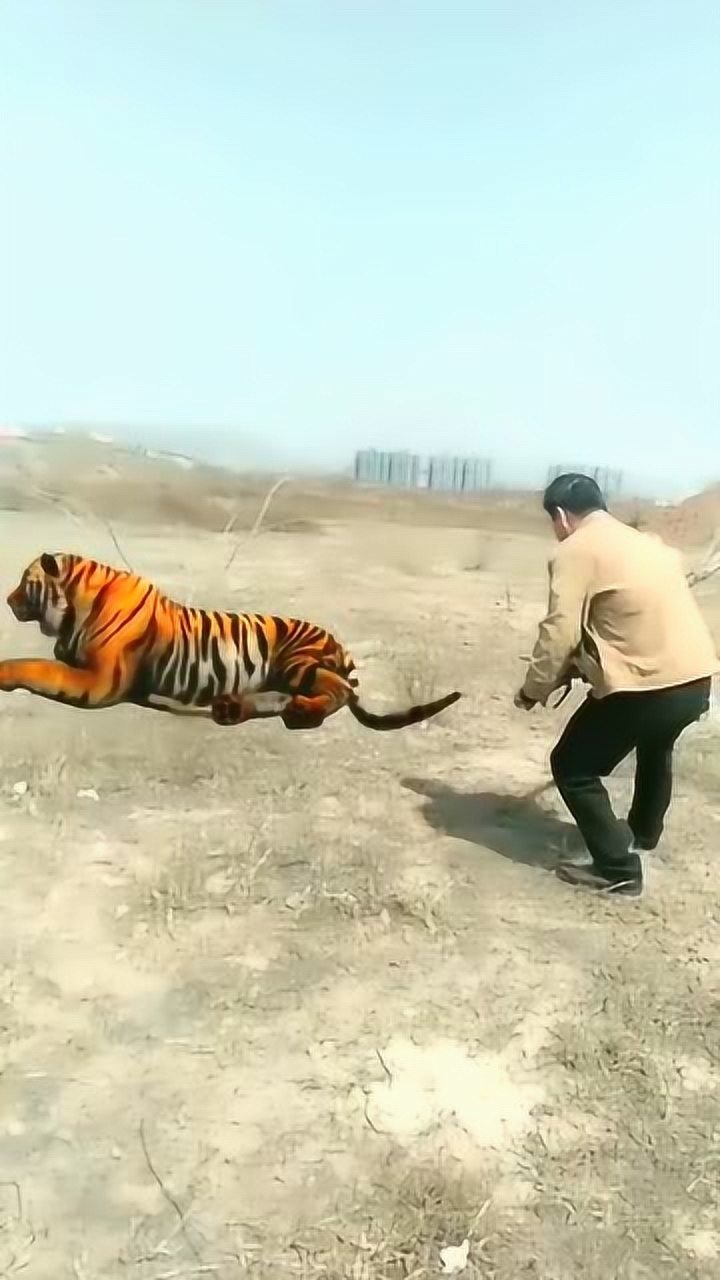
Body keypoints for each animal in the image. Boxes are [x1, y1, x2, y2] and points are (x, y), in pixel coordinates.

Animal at [2, 552, 462, 732]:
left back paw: (302, 714)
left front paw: (5, 672)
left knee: (337, 691)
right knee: (280, 696)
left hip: (299, 660)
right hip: (283, 673)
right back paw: (232, 708)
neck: (72, 610)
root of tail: (339, 642)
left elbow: (37, 666)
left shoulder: (101, 680)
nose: (8, 600)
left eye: (26, 582)